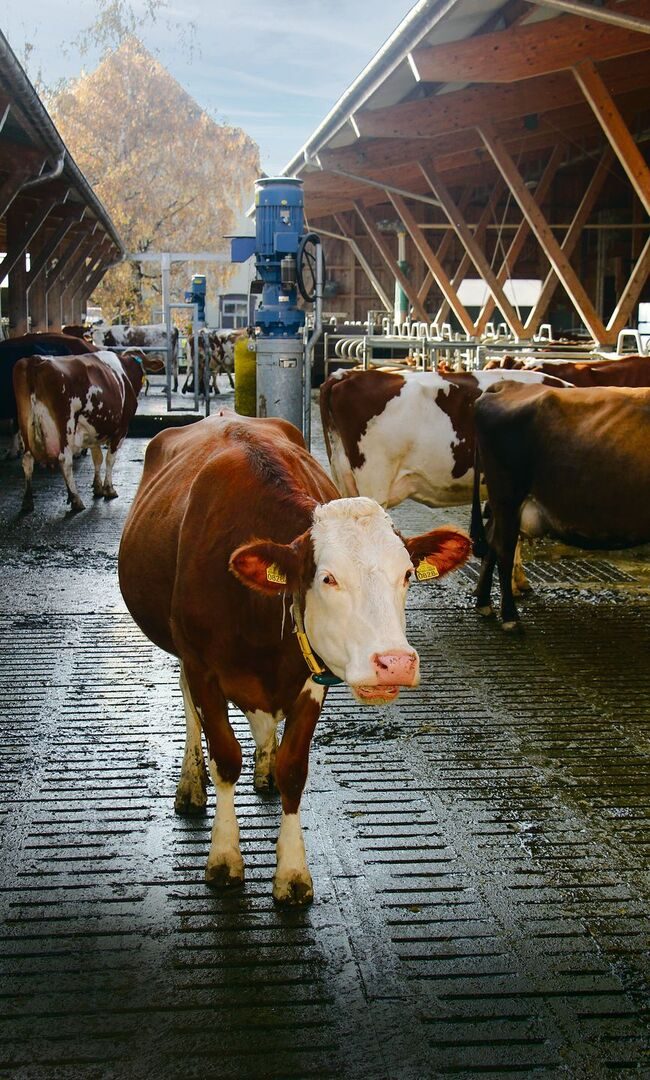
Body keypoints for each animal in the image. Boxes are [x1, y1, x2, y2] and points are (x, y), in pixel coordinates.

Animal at [13, 350, 144, 513]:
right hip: (66, 425)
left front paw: (97, 487)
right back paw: (76, 499)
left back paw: (27, 501)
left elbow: (97, 458)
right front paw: (109, 489)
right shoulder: (121, 429)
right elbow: (109, 459)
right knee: (64, 460)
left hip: (24, 420)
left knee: (27, 459)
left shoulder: (94, 432)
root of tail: (35, 360)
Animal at [118, 411, 471, 904]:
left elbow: (293, 770)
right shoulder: (203, 665)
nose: (396, 662)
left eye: (406, 575)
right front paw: (224, 857)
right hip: (178, 647)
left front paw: (292, 871)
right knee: (188, 704)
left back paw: (262, 765)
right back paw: (191, 783)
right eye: (328, 578)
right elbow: (225, 757)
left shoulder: (311, 678)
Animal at [470, 381, 650, 629]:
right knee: (503, 549)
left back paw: (484, 603)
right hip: (507, 495)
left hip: (502, 503)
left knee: (491, 542)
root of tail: (508, 385)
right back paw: (510, 617)